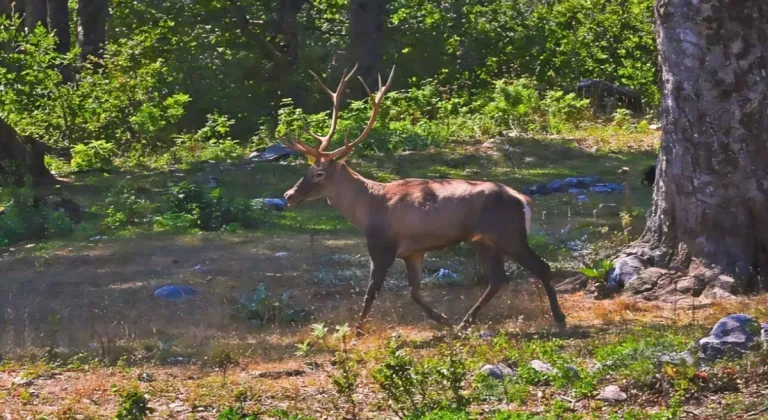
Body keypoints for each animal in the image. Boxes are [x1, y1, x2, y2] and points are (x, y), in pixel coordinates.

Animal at [282, 64, 564, 336]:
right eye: (307, 170)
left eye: (318, 173)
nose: (289, 195)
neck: (367, 209)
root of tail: (523, 200)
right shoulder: (413, 251)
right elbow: (415, 292)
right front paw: (445, 321)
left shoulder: (382, 245)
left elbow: (371, 292)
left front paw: (357, 331)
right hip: (483, 240)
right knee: (498, 279)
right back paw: (465, 322)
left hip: (509, 233)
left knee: (541, 267)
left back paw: (559, 319)